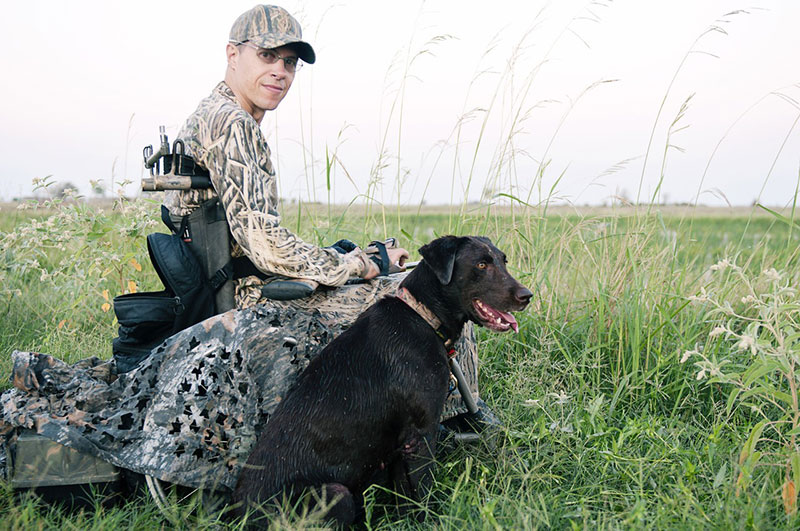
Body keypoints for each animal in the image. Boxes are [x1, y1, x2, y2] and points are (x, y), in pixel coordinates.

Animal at [231, 235, 532, 524]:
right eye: (481, 265)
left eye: (503, 261)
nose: (526, 296)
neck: (422, 315)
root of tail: (237, 514)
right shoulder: (421, 434)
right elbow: (424, 493)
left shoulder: (401, 448)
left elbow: (406, 498)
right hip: (336, 494)